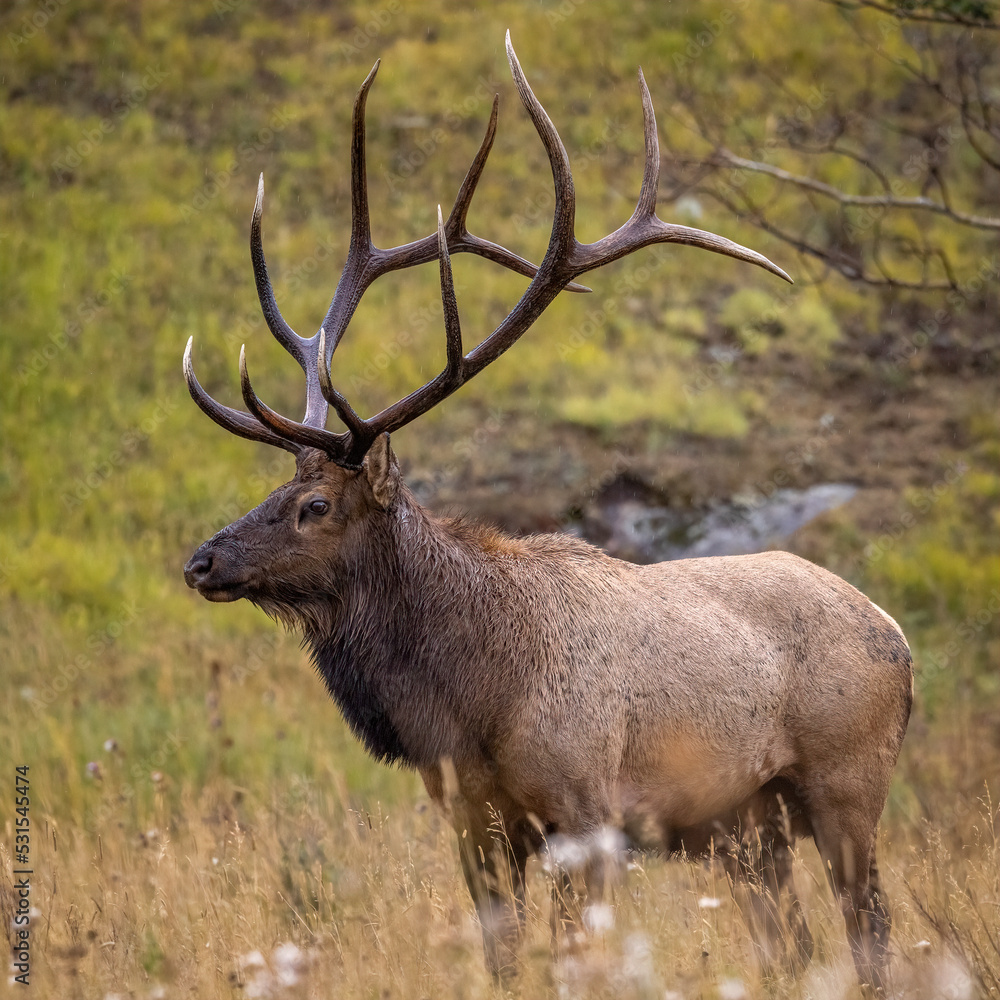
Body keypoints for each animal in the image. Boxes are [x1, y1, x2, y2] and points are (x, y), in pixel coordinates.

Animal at [183, 34, 912, 992]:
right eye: (270, 491)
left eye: (313, 504)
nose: (201, 560)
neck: (470, 704)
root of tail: (899, 636)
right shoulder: (475, 826)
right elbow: (503, 960)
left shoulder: (588, 813)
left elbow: (574, 962)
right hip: (747, 828)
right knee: (791, 946)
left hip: (847, 784)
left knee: (871, 930)